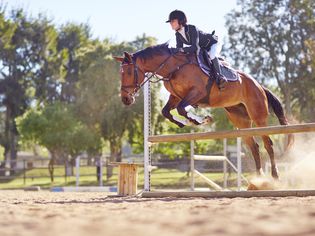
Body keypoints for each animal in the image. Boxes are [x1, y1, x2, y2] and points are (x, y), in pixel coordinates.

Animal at [115, 42, 296, 179]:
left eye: (129, 72)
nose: (125, 99)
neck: (174, 67)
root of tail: (259, 85)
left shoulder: (196, 93)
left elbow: (181, 109)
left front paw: (199, 120)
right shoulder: (176, 96)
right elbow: (166, 112)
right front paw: (184, 124)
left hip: (258, 117)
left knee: (268, 144)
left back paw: (274, 175)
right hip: (240, 120)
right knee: (254, 147)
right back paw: (258, 178)